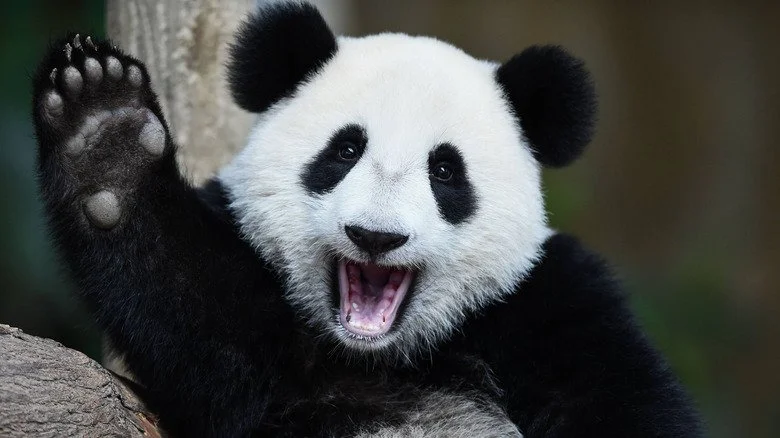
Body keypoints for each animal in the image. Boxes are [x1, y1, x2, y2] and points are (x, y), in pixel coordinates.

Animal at [32, 1, 702, 437]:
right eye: (346, 150)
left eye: (445, 171)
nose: (376, 236)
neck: (382, 355)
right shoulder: (269, 350)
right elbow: (199, 314)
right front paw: (106, 134)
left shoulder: (549, 304)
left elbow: (622, 402)